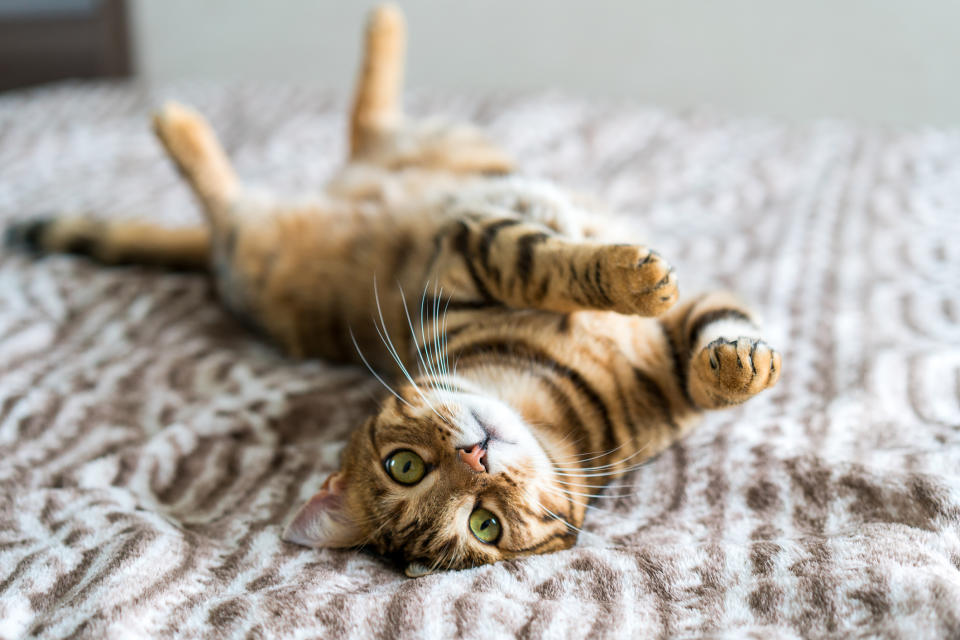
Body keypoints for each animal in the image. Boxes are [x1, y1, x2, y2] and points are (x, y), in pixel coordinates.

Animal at [5, 3, 780, 576]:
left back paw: (377, 27)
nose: (477, 460)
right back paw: (180, 122)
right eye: (480, 522)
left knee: (365, 126)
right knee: (231, 203)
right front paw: (636, 278)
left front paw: (738, 360)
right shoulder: (469, 251)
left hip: (433, 151)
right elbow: (542, 259)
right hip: (258, 253)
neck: (547, 402)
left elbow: (711, 342)